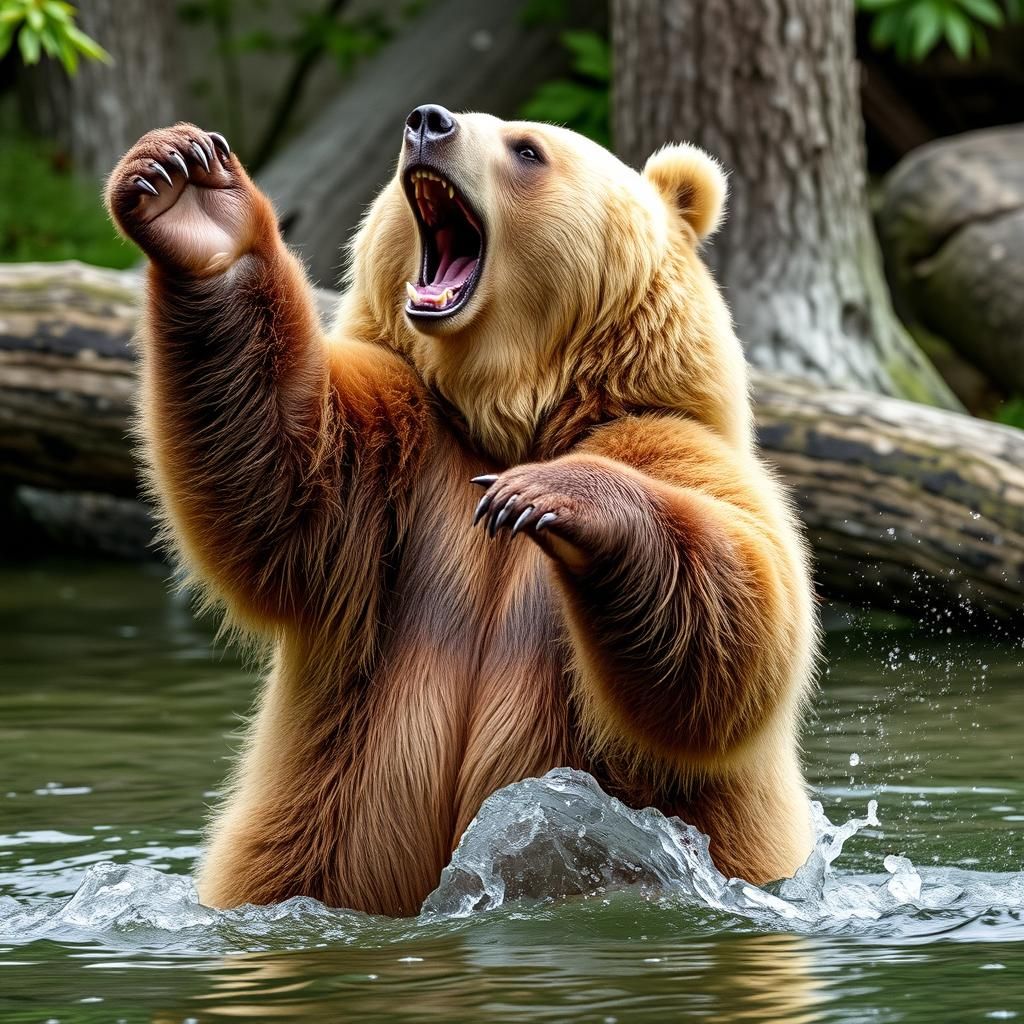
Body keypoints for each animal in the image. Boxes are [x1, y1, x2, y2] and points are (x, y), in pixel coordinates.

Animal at [105, 105, 817, 917]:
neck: (513, 414)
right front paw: (191, 189)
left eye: (528, 149)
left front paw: (549, 494)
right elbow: (277, 470)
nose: (428, 122)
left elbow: (744, 620)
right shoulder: (397, 470)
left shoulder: (665, 440)